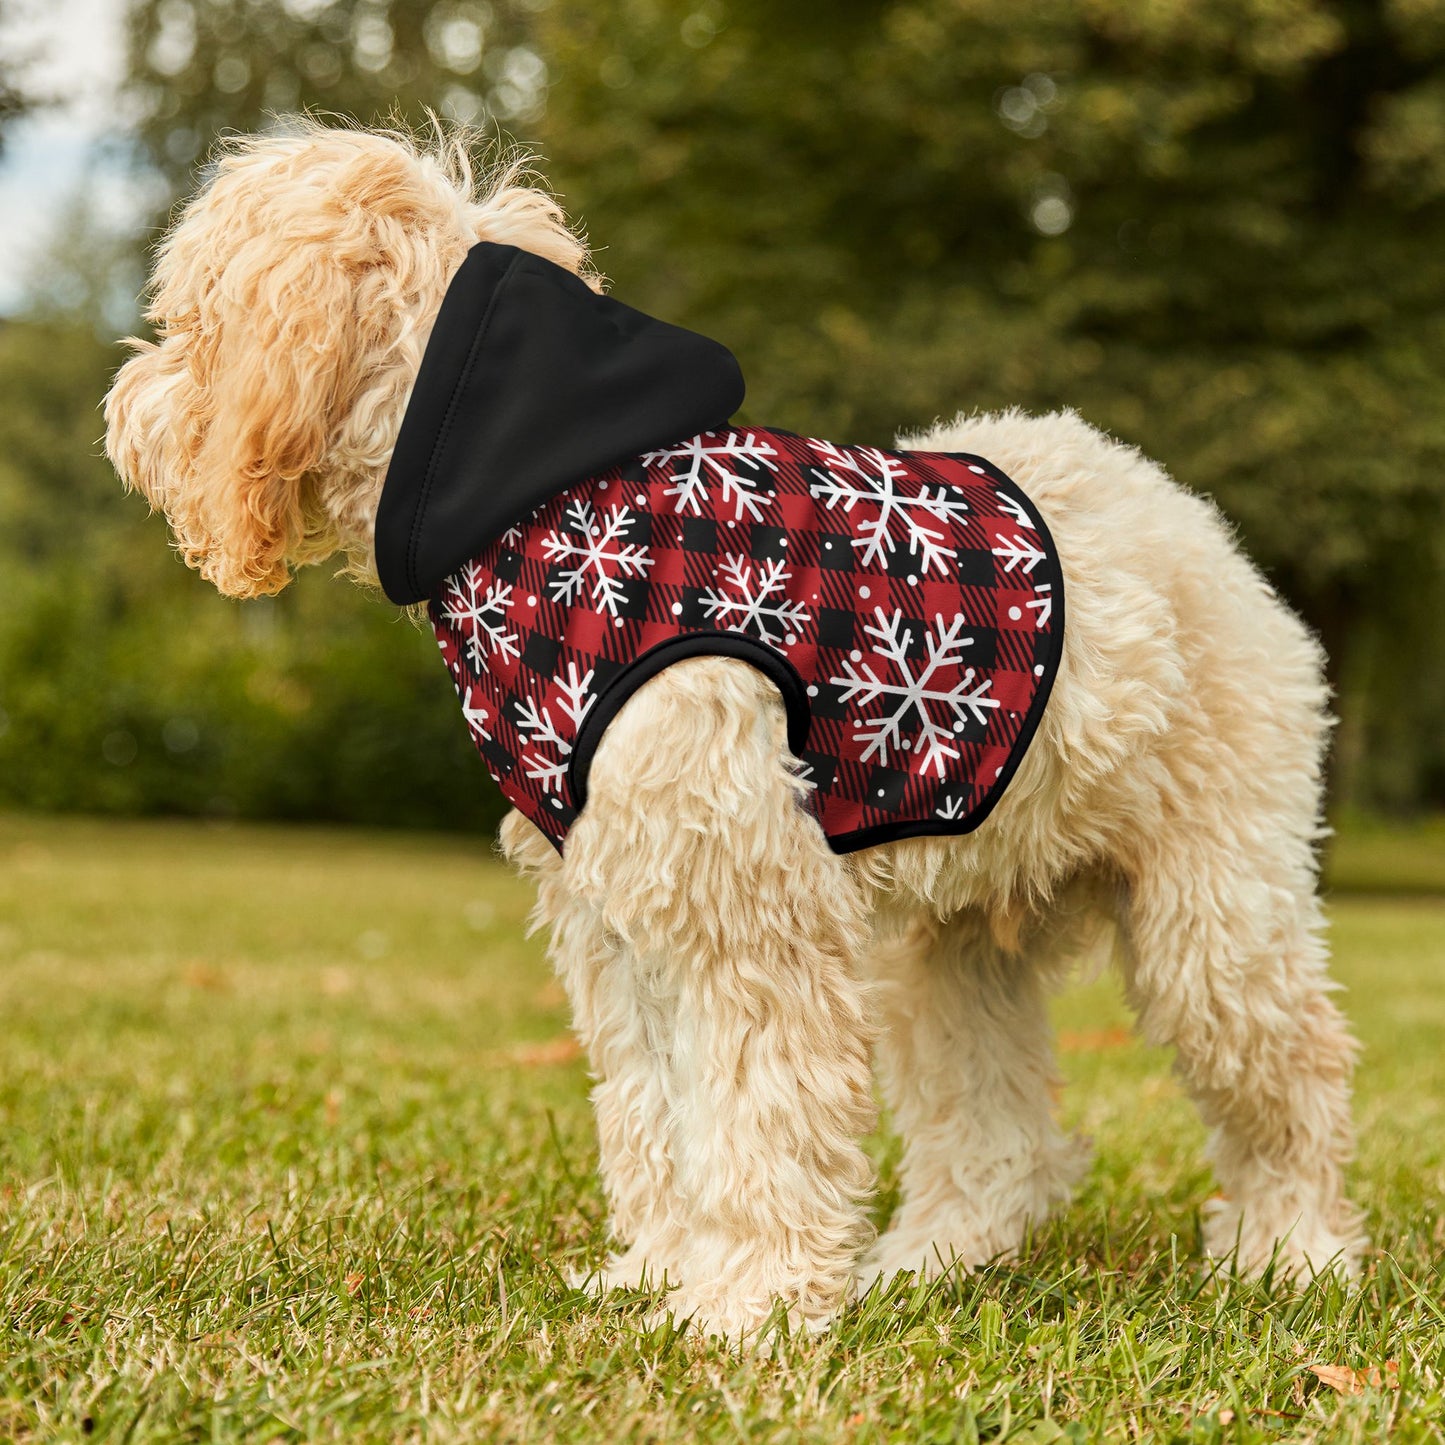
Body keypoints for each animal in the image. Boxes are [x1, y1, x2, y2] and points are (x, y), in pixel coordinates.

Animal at [104, 124, 1364, 1340]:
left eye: (190, 319)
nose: (123, 408)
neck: (539, 500)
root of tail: (1190, 520)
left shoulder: (743, 906)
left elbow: (758, 1112)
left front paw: (747, 1304)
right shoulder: (619, 917)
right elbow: (656, 1112)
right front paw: (662, 1273)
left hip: (1213, 915)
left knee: (1293, 1076)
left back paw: (1290, 1251)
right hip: (948, 949)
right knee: (996, 1135)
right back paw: (929, 1260)